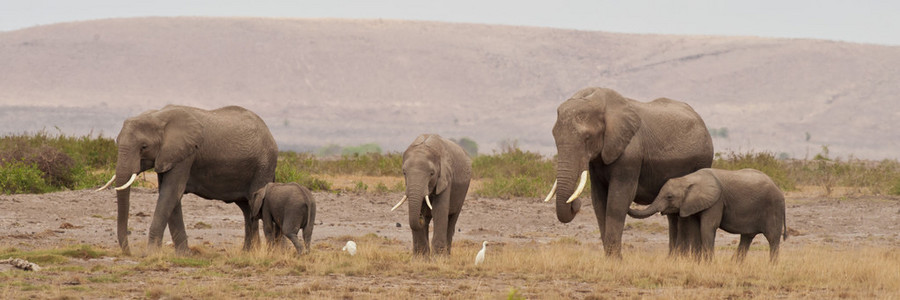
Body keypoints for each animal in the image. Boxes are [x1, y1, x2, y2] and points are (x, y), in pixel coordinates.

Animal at [95, 104, 278, 254]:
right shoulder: (169, 156)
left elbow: (170, 194)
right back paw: (248, 252)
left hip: (263, 165)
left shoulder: (185, 154)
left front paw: (151, 254)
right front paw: (183, 254)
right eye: (117, 142)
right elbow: (171, 197)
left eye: (144, 147)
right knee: (247, 209)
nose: (129, 253)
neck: (158, 116)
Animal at [544, 86, 712, 258]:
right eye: (554, 136)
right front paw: (609, 258)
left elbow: (617, 200)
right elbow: (599, 201)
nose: (575, 204)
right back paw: (672, 258)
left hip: (702, 160)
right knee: (673, 214)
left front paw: (615, 260)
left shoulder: (630, 155)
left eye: (587, 138)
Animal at [628, 168, 784, 262]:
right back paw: (735, 264)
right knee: (746, 237)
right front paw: (698, 262)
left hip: (773, 208)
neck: (689, 179)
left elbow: (707, 227)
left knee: (772, 238)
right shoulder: (691, 204)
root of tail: (778, 188)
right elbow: (695, 228)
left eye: (669, 197)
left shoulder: (716, 201)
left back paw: (772, 265)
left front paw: (708, 263)